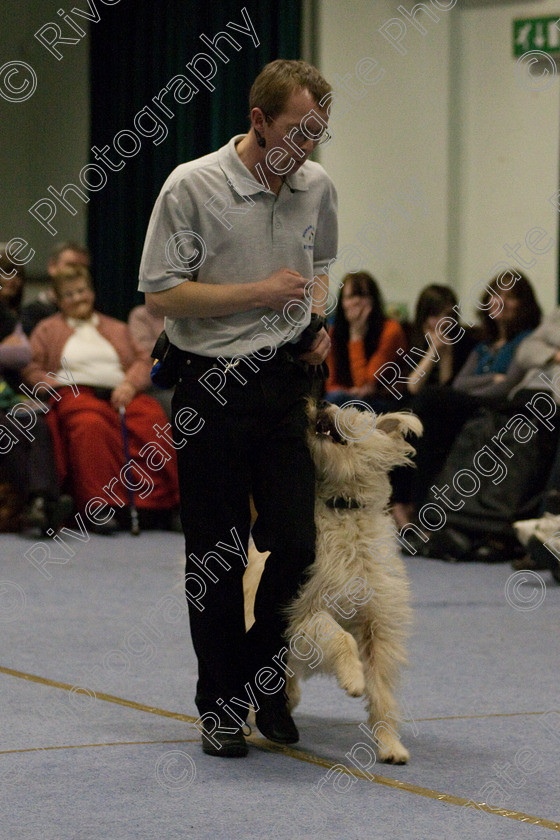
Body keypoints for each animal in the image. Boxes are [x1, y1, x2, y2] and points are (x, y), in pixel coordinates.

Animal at [243, 404, 422, 764]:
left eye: (353, 413)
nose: (323, 403)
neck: (345, 511)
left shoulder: (376, 628)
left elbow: (381, 691)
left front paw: (390, 745)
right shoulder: (302, 613)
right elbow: (340, 637)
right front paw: (353, 679)